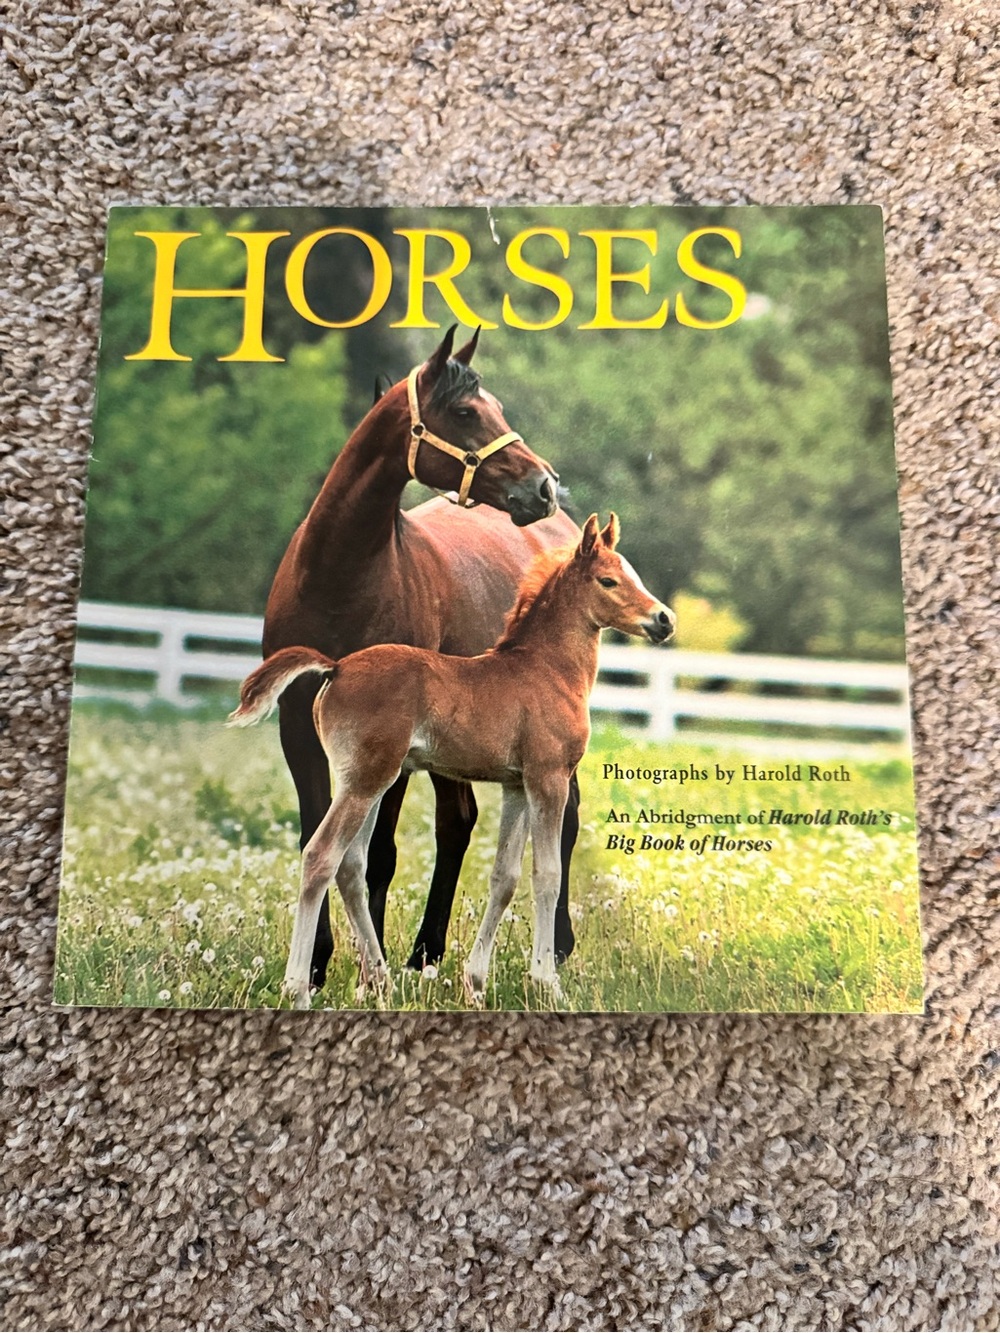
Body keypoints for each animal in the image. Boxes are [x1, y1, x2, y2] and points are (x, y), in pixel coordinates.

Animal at [231, 513, 676, 1009]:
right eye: (608, 580)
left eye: (631, 574)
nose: (664, 620)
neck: (546, 668)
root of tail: (336, 667)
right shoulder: (549, 778)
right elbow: (547, 874)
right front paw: (547, 983)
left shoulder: (516, 785)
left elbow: (504, 877)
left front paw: (476, 983)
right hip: (367, 780)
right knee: (320, 856)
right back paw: (299, 987)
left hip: (366, 782)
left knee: (351, 867)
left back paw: (380, 980)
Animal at [263, 325, 580, 988]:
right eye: (464, 412)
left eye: (496, 407)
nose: (544, 485)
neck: (340, 576)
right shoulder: (297, 727)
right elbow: (318, 836)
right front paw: (322, 963)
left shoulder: (395, 752)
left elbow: (379, 855)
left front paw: (368, 964)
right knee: (457, 821)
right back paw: (425, 952)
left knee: (559, 822)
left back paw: (553, 948)